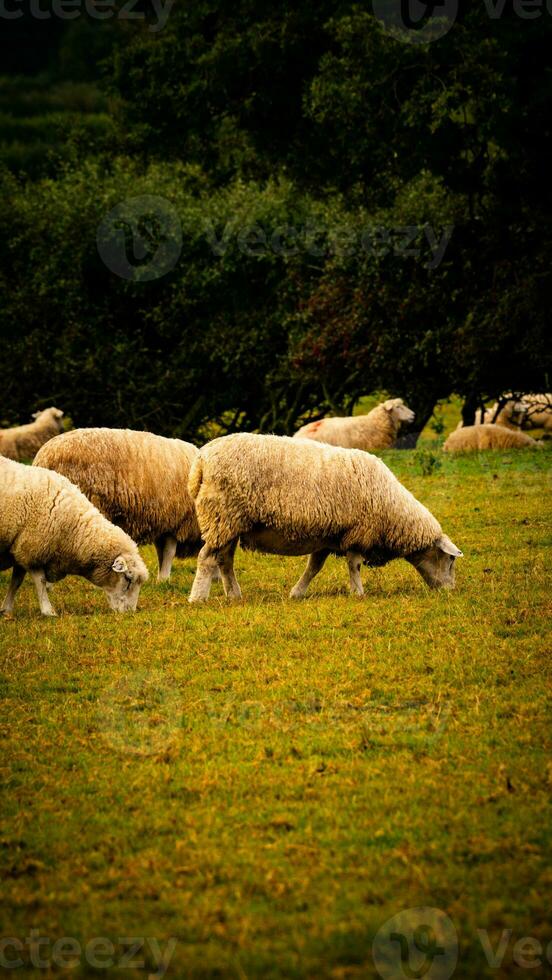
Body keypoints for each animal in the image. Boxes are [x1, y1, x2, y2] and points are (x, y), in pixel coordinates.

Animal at [0, 456, 149, 616]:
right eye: (128, 578)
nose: (130, 612)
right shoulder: (31, 548)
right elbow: (40, 581)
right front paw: (48, 610)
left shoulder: (20, 548)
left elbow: (16, 581)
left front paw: (6, 609)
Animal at [35, 424, 203, 580]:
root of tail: (45, 457)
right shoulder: (177, 520)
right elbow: (169, 552)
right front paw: (164, 579)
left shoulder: (164, 523)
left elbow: (161, 553)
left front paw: (160, 580)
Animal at [185, 432, 462, 600]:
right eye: (450, 561)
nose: (451, 591)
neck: (394, 511)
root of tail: (201, 461)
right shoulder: (357, 532)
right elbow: (354, 565)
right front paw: (358, 592)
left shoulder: (328, 536)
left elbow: (313, 568)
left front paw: (297, 592)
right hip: (222, 515)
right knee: (207, 558)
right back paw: (198, 597)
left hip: (230, 523)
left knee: (224, 560)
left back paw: (234, 594)